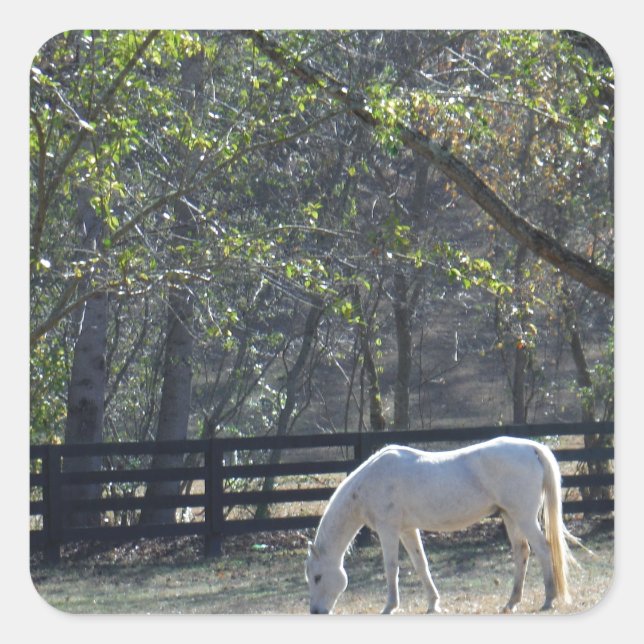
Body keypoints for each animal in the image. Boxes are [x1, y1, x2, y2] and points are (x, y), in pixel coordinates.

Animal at [305, 436, 585, 614]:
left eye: (318, 577)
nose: (316, 612)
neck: (371, 481)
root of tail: (531, 448)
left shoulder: (389, 530)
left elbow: (391, 567)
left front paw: (390, 607)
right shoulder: (407, 530)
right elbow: (421, 565)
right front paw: (433, 604)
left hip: (523, 516)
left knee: (543, 549)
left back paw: (548, 599)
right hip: (510, 516)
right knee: (522, 552)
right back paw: (511, 602)